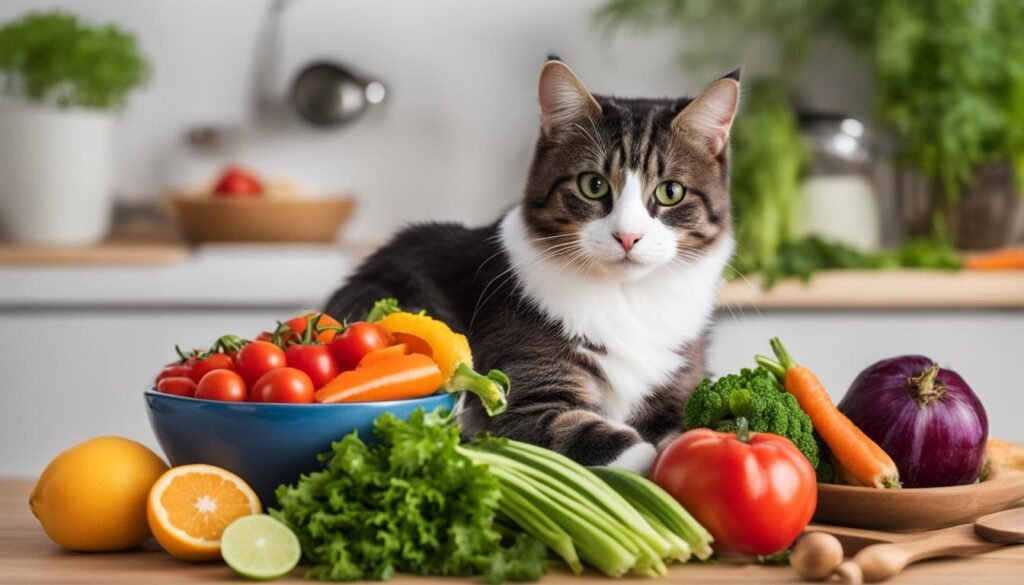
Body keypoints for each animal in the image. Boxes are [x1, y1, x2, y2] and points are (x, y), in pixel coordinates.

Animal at [331, 57, 741, 473]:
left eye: (670, 192)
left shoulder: (680, 387)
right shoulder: (520, 390)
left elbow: (688, 427)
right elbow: (583, 430)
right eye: (593, 185)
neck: (627, 296)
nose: (627, 237)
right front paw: (646, 461)